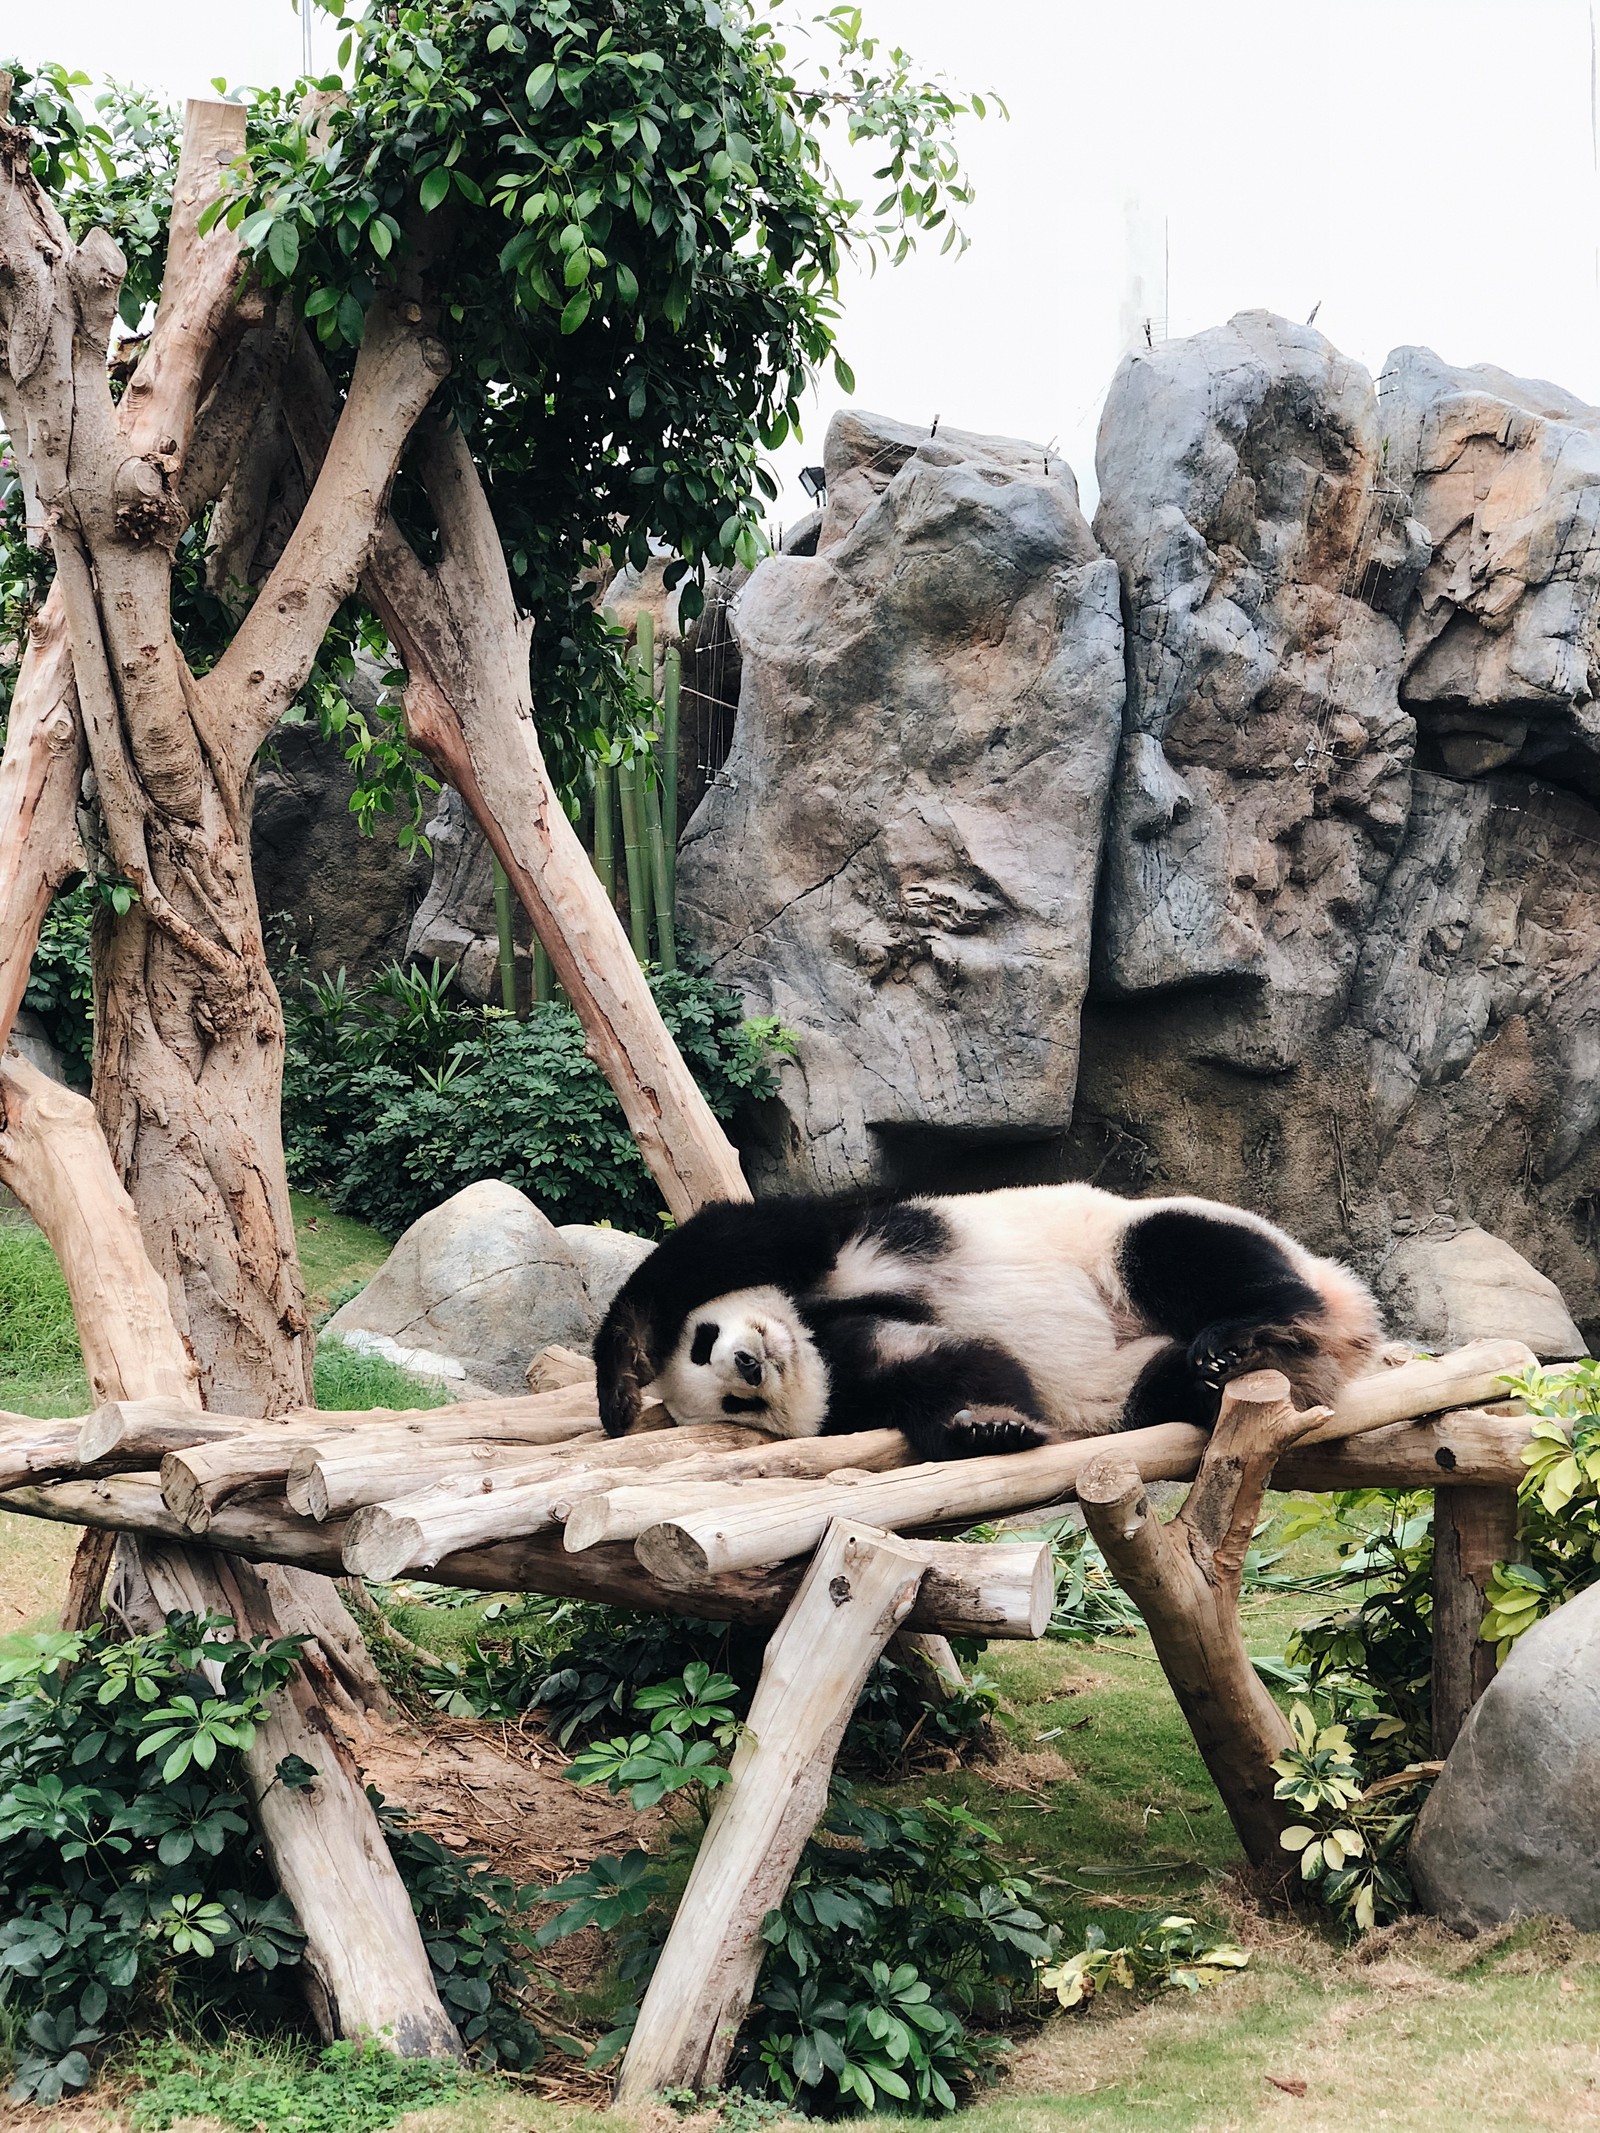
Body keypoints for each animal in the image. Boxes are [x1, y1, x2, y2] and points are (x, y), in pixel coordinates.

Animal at [597, 1185, 1382, 1467]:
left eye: (704, 1341)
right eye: (737, 1405)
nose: (750, 1363)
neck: (810, 1331)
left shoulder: (846, 1247)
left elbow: (731, 1242)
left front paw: (621, 1380)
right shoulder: (853, 1376)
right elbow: (950, 1365)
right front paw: (989, 1428)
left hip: (1123, 1238)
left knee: (1178, 1250)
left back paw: (1248, 1327)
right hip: (1130, 1381)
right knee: (1162, 1386)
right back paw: (1230, 1373)